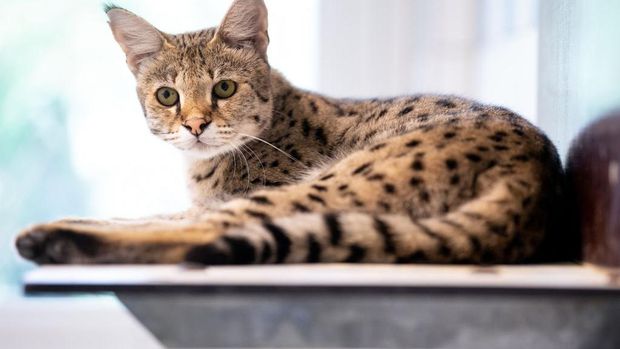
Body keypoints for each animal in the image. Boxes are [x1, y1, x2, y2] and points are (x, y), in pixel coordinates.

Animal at [14, 0, 568, 262]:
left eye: (224, 88)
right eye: (167, 96)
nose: (195, 125)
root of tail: (538, 174)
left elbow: (170, 218)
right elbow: (151, 213)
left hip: (333, 182)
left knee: (211, 232)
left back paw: (54, 240)